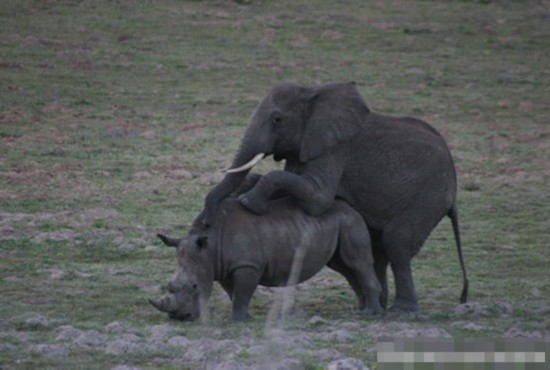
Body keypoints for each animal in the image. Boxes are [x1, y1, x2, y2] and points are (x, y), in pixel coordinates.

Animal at [150, 197, 384, 320]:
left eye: (195, 286)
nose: (180, 317)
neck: (210, 246)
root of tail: (351, 208)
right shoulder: (223, 266)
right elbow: (233, 292)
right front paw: (242, 317)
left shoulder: (247, 265)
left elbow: (243, 291)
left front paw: (238, 320)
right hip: (339, 223)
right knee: (344, 267)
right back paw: (361, 307)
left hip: (349, 221)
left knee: (357, 263)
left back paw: (370, 314)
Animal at [203, 81, 470, 312]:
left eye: (277, 120)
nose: (206, 220)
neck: (312, 93)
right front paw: (244, 192)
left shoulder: (334, 149)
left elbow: (317, 198)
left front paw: (248, 202)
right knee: (378, 248)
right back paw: (373, 307)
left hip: (429, 196)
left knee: (398, 241)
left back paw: (401, 311)